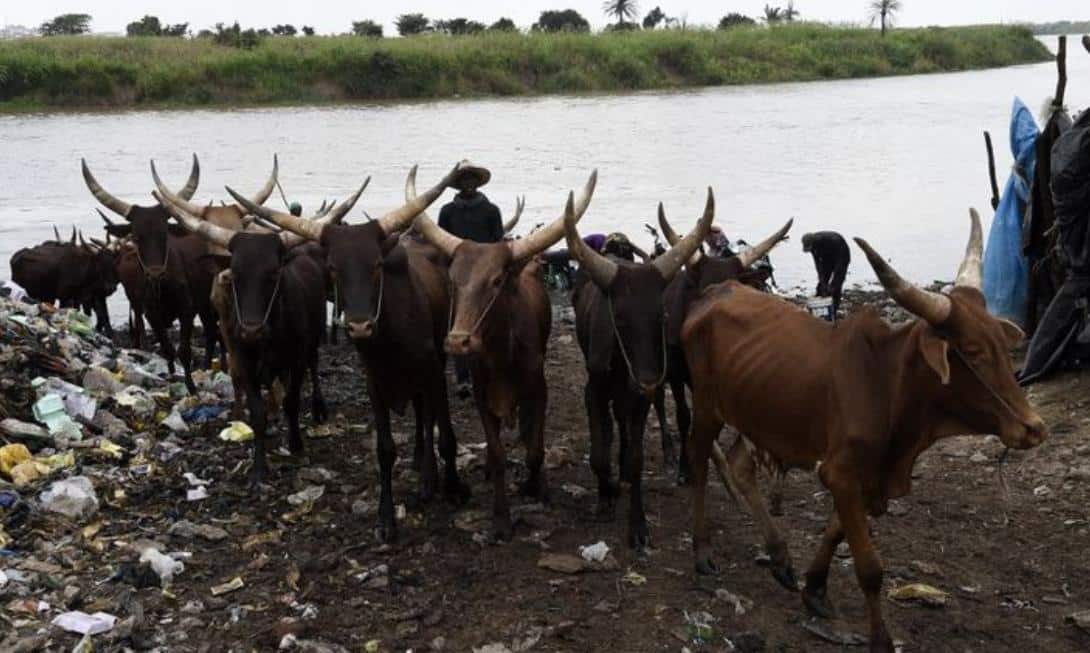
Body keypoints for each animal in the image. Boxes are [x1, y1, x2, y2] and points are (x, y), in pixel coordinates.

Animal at [227, 164, 466, 540]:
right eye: (334, 268)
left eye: (377, 265)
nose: (359, 327)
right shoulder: (375, 384)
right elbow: (385, 450)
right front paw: (387, 518)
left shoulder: (432, 373)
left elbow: (442, 432)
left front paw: (452, 487)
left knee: (427, 420)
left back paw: (428, 475)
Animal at [409, 170, 597, 540]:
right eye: (453, 281)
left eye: (496, 281)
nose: (458, 342)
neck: (502, 357)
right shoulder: (483, 398)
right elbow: (496, 455)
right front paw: (500, 519)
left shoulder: (538, 391)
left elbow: (536, 449)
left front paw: (536, 488)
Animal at [566, 190, 710, 551]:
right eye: (618, 317)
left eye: (661, 315)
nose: (644, 380)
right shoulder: (594, 390)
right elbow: (598, 454)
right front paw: (607, 494)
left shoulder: (641, 398)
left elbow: (636, 458)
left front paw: (638, 525)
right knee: (607, 428)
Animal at [680, 210, 1046, 653]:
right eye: (973, 352)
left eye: (1002, 346)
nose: (1033, 428)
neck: (887, 386)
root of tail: (714, 291)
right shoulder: (841, 473)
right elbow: (870, 567)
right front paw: (880, 639)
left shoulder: (869, 478)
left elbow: (835, 531)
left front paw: (814, 588)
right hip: (706, 405)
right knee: (700, 462)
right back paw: (702, 552)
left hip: (752, 413)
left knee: (739, 466)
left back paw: (780, 559)